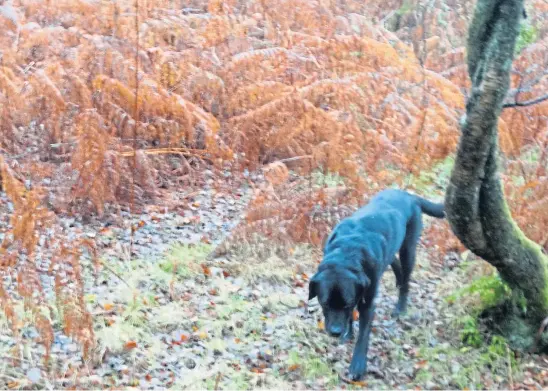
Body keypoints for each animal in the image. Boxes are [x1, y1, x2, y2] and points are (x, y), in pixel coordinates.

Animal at [308, 188, 446, 382]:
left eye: (347, 305)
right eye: (325, 304)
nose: (335, 331)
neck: (347, 252)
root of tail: (408, 194)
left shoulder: (367, 302)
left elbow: (363, 335)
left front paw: (358, 366)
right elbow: (350, 318)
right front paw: (347, 334)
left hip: (409, 248)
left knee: (406, 280)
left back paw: (400, 307)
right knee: (394, 262)